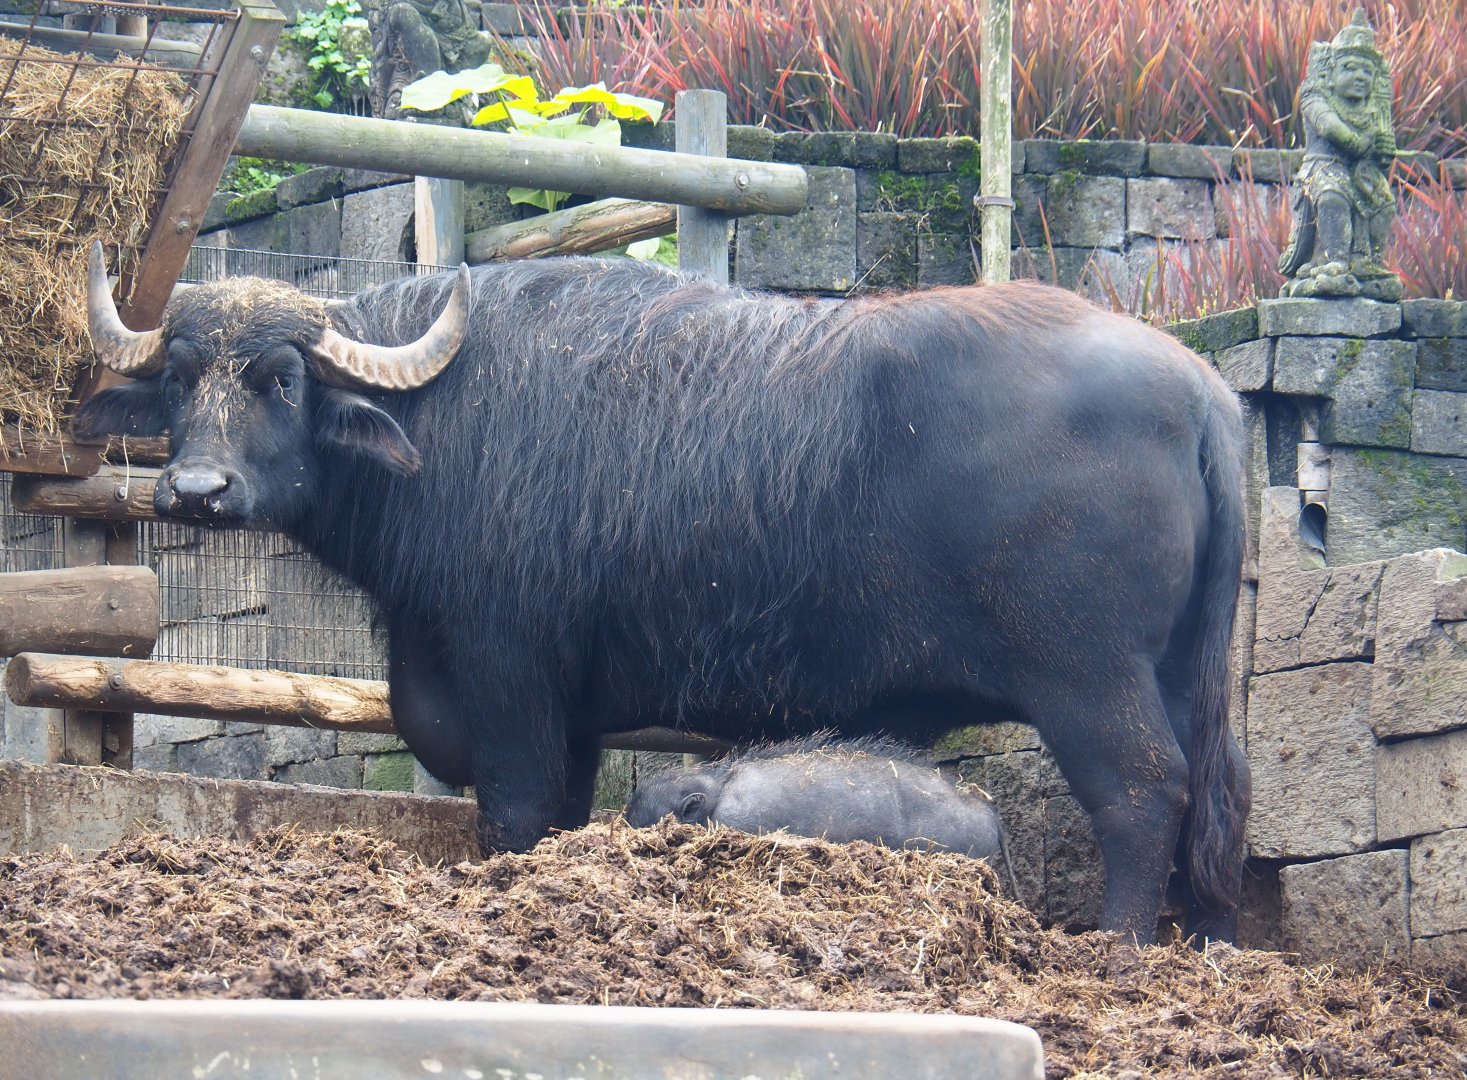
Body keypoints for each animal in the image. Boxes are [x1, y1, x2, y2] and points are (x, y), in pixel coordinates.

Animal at [75, 242, 1248, 944]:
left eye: (280, 379)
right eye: (177, 379)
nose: (197, 491)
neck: (444, 423)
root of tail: (1203, 393)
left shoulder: (509, 671)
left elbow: (515, 810)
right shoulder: (575, 708)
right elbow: (563, 810)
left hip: (1085, 673)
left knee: (1144, 792)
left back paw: (1120, 943)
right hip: (1175, 671)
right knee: (1204, 799)